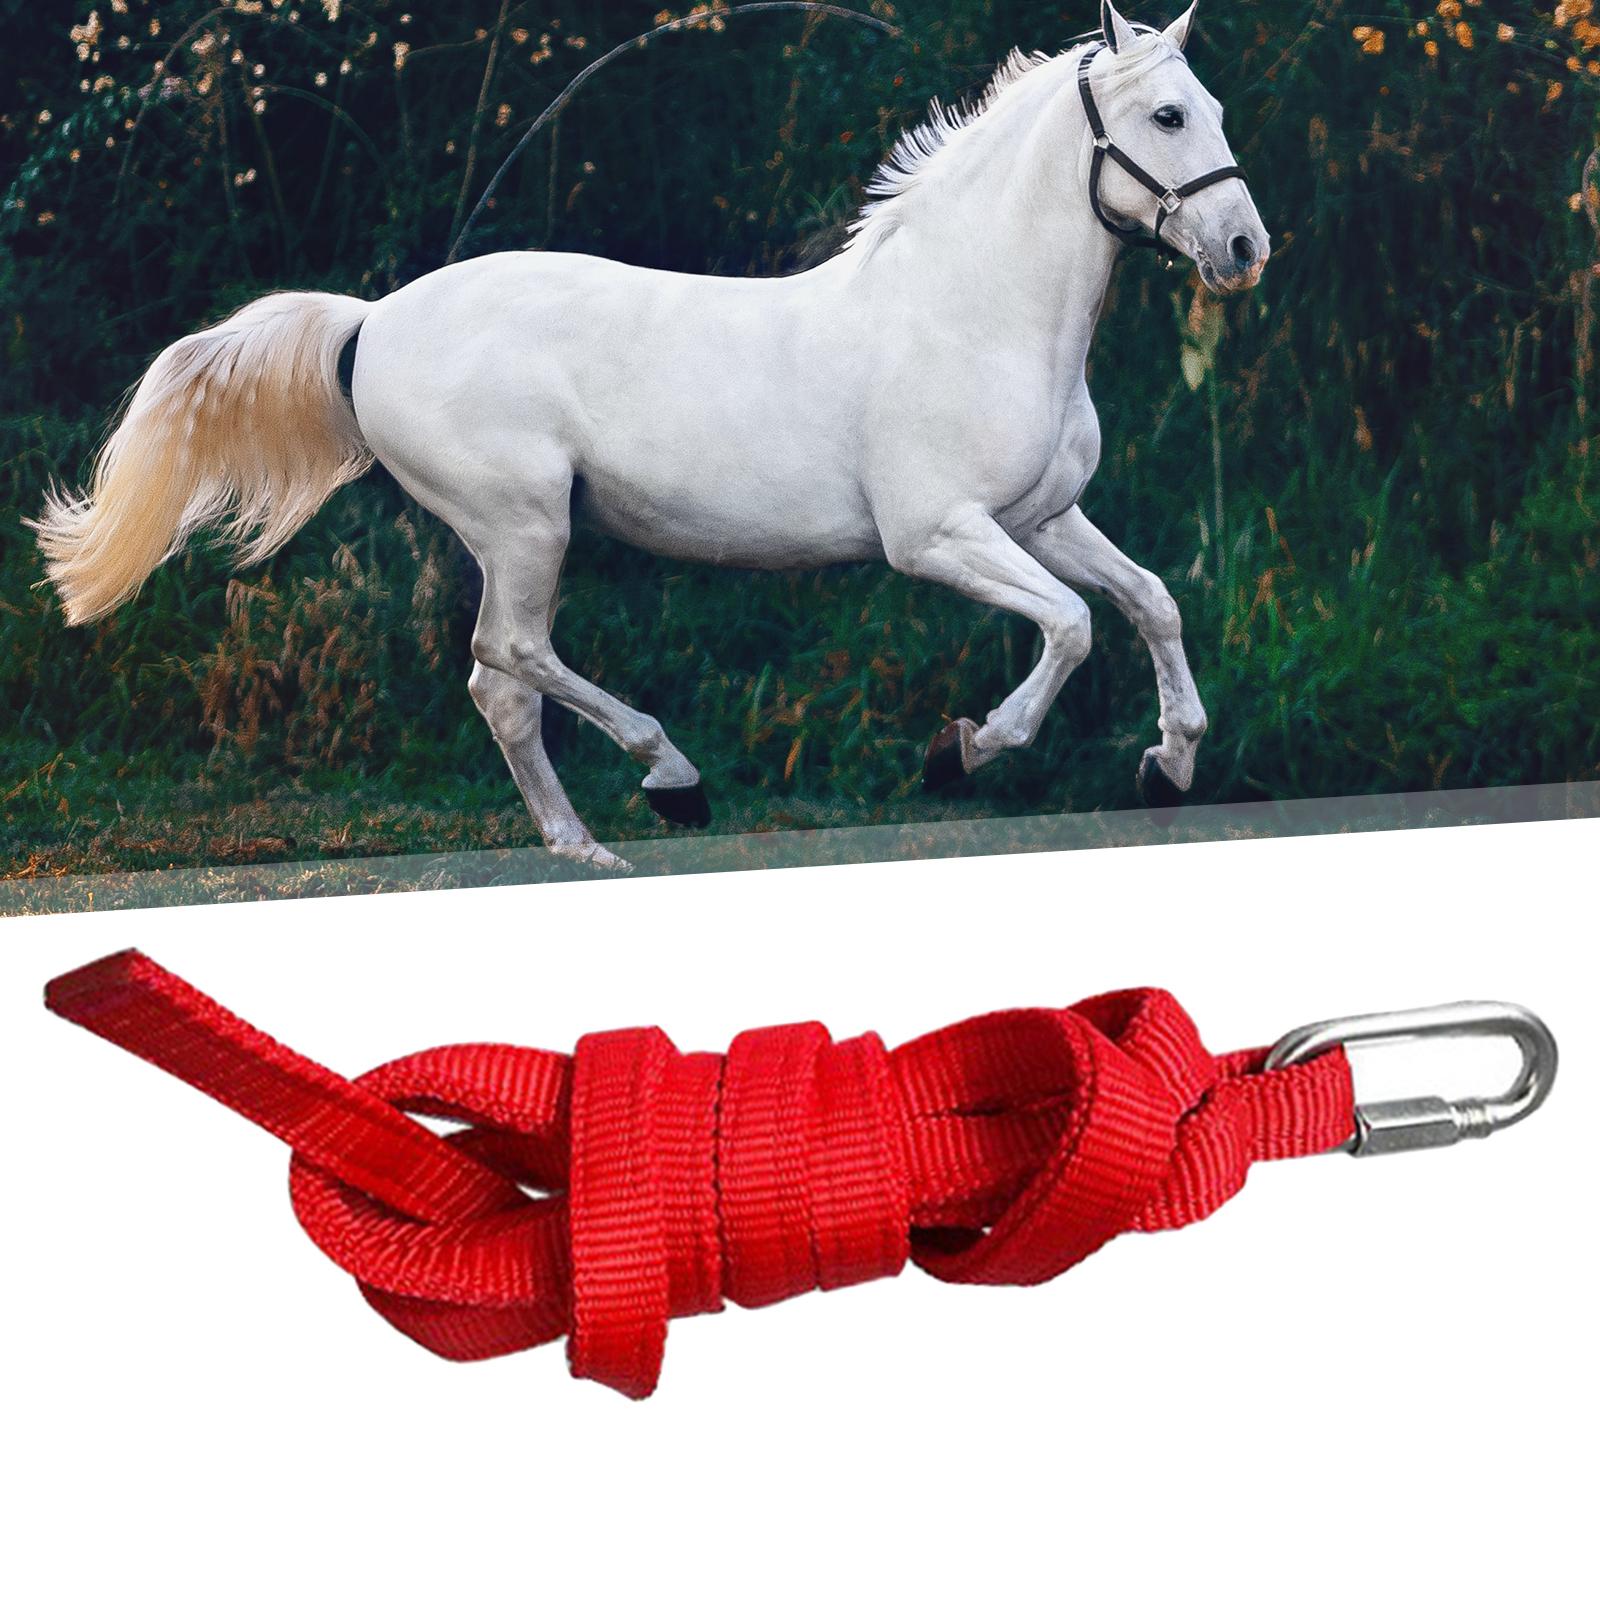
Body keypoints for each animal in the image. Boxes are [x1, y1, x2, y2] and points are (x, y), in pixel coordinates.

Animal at [33, 2, 1268, 871]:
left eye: (1212, 109)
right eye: (1167, 116)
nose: (1245, 248)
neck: (972, 309)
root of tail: (372, 320)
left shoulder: (1043, 518)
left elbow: (1150, 601)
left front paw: (1168, 764)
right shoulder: (938, 537)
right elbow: (1069, 628)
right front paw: (960, 750)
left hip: (515, 536)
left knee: (500, 685)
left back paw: (584, 844)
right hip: (525, 524)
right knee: (512, 657)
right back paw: (669, 779)